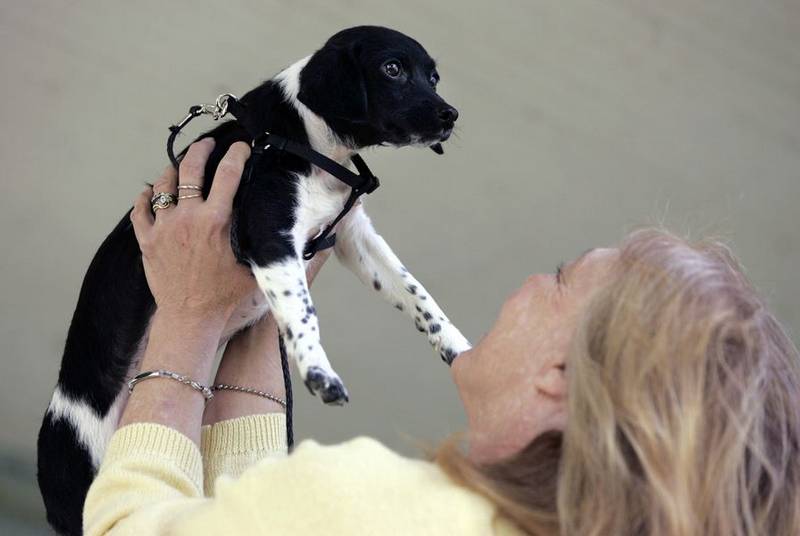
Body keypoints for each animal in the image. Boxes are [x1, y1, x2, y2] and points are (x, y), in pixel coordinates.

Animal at [37, 26, 472, 536]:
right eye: (393, 69)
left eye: (434, 77)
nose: (450, 114)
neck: (305, 139)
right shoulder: (266, 231)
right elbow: (302, 310)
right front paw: (319, 372)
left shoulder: (352, 236)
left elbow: (416, 292)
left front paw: (460, 348)